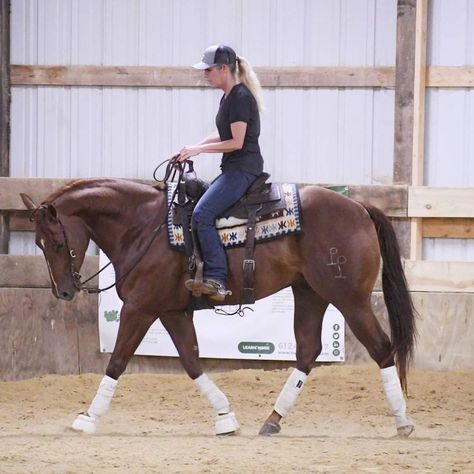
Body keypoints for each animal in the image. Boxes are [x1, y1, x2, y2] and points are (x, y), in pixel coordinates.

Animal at [21, 177, 414, 436]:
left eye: (57, 242)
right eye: (38, 243)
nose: (64, 292)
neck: (142, 226)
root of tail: (360, 208)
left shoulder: (139, 308)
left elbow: (117, 361)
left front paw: (88, 417)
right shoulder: (171, 312)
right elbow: (192, 361)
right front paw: (225, 416)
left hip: (349, 299)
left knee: (381, 347)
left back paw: (403, 421)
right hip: (310, 294)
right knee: (307, 351)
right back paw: (272, 419)